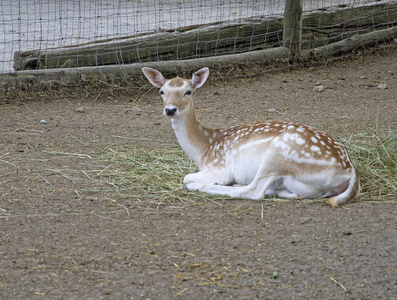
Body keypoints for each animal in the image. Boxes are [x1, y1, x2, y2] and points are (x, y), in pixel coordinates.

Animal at [142, 67, 358, 206]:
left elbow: (186, 177)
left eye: (188, 91)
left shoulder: (219, 167)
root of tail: (349, 173)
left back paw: (203, 186)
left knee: (254, 191)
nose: (170, 109)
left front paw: (203, 183)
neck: (204, 149)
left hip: (278, 153)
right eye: (161, 91)